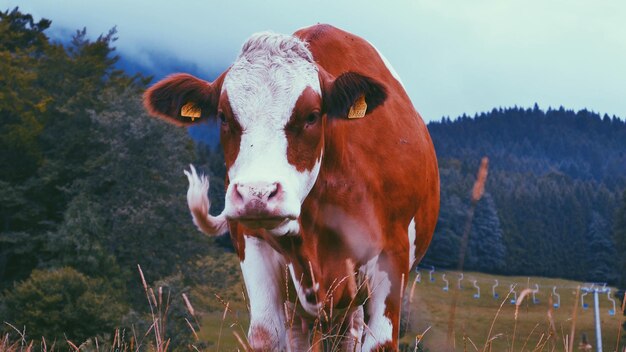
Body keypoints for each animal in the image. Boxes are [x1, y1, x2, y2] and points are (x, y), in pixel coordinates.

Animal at [144, 23, 438, 350]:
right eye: (223, 117)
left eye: (311, 116)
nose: (256, 194)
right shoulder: (251, 240)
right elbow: (265, 334)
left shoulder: (392, 256)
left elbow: (380, 342)